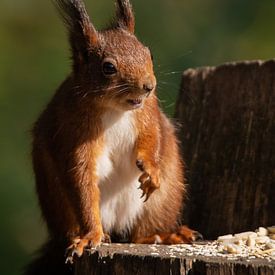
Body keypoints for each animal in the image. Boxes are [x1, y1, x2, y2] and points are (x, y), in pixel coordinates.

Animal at [26, 1, 201, 274]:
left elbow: (153, 137)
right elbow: (82, 179)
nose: (148, 86)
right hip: (60, 206)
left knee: (140, 235)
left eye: (149, 54)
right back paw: (88, 236)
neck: (116, 110)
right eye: (108, 67)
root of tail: (117, 225)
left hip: (164, 199)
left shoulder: (149, 113)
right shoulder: (72, 132)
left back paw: (163, 235)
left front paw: (151, 170)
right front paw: (90, 237)